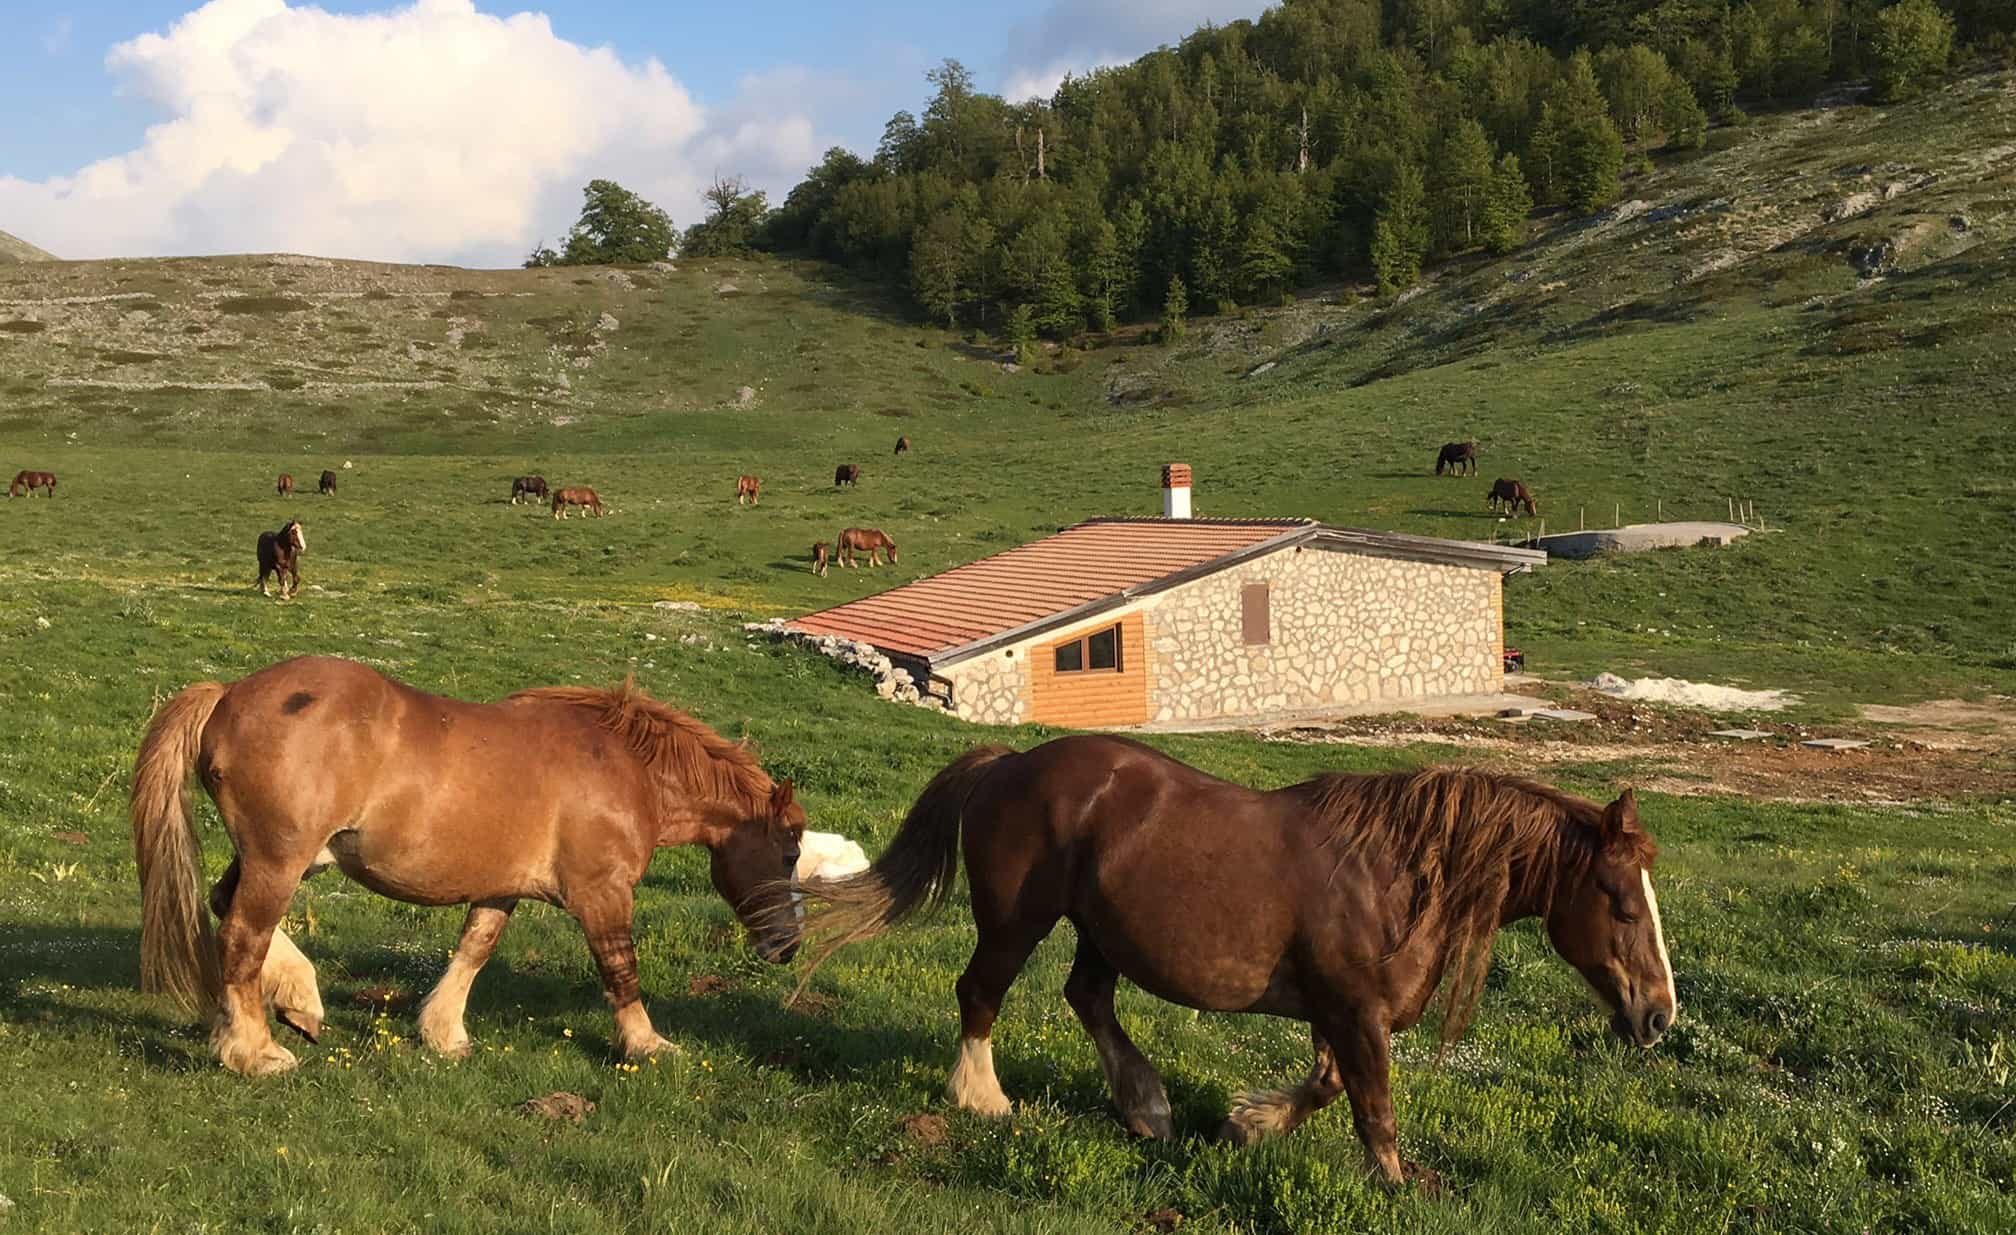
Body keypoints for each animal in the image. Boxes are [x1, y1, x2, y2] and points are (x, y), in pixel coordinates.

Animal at [121, 656, 802, 1071]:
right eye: (791, 849)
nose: (788, 947)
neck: (626, 766)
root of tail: (229, 696)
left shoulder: (500, 888)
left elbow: (474, 950)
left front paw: (444, 1033)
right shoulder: (602, 894)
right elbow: (620, 970)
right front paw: (647, 1042)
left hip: (283, 858)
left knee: (225, 910)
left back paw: (296, 1002)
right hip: (279, 860)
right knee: (242, 935)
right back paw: (255, 1050)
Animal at [794, 737, 1677, 1192]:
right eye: (1621, 903)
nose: (1659, 1015)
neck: (1396, 874)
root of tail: (1008, 760)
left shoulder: (1336, 1011)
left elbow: (1326, 1085)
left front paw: (1244, 1124)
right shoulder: (1356, 1012)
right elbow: (1374, 1110)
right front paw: (1390, 1185)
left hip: (1099, 929)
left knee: (1088, 997)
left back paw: (1147, 1108)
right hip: (1017, 921)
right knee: (980, 992)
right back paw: (982, 1098)